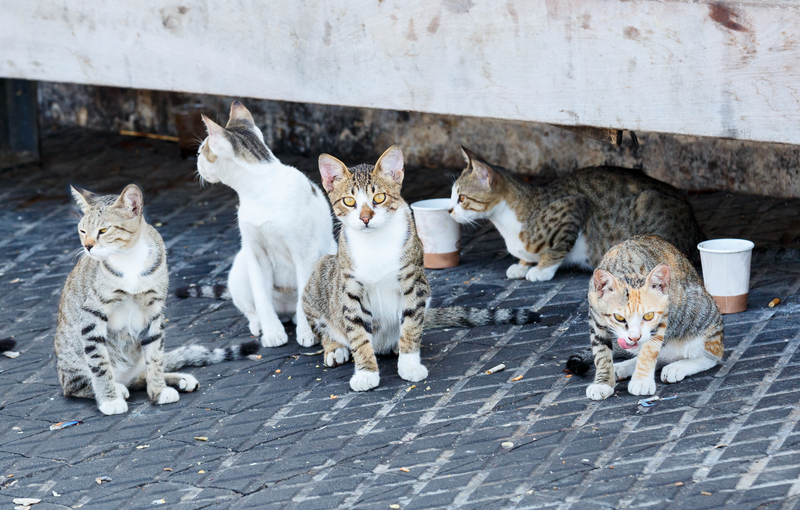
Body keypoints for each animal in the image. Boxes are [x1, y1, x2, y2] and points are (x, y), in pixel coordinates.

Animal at [56, 183, 256, 414]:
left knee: (139, 377)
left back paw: (177, 380)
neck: (129, 259)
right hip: (72, 361)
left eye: (103, 231)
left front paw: (158, 390)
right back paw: (117, 389)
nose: (87, 247)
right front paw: (109, 399)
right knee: (76, 385)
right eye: (82, 231)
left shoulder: (153, 310)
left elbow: (155, 355)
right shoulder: (92, 313)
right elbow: (99, 362)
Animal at [181, 100, 338, 346]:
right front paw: (272, 332)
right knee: (251, 308)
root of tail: (285, 309)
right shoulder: (255, 253)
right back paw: (259, 324)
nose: (196, 162)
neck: (259, 189)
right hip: (240, 267)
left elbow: (304, 294)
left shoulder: (304, 253)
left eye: (201, 152)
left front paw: (306, 333)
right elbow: (261, 298)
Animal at [304, 145, 540, 392]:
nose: (365, 218)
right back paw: (335, 348)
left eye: (379, 197)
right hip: (319, 275)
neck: (375, 243)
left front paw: (409, 364)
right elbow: (357, 333)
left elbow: (411, 325)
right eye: (349, 202)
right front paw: (365, 372)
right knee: (326, 327)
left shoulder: (414, 282)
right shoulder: (351, 289)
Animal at [446, 146, 704, 282]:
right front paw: (522, 264)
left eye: (461, 198)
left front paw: (541, 270)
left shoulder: (574, 207)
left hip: (646, 205)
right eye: (451, 196)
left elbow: (558, 247)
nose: (449, 210)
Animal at [564, 235, 724, 398]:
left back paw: (677, 367)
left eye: (648, 316)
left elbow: (649, 350)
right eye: (619, 318)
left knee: (711, 356)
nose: (635, 337)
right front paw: (603, 383)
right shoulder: (595, 317)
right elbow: (601, 352)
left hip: (702, 319)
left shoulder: (662, 317)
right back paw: (624, 366)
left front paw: (641, 381)